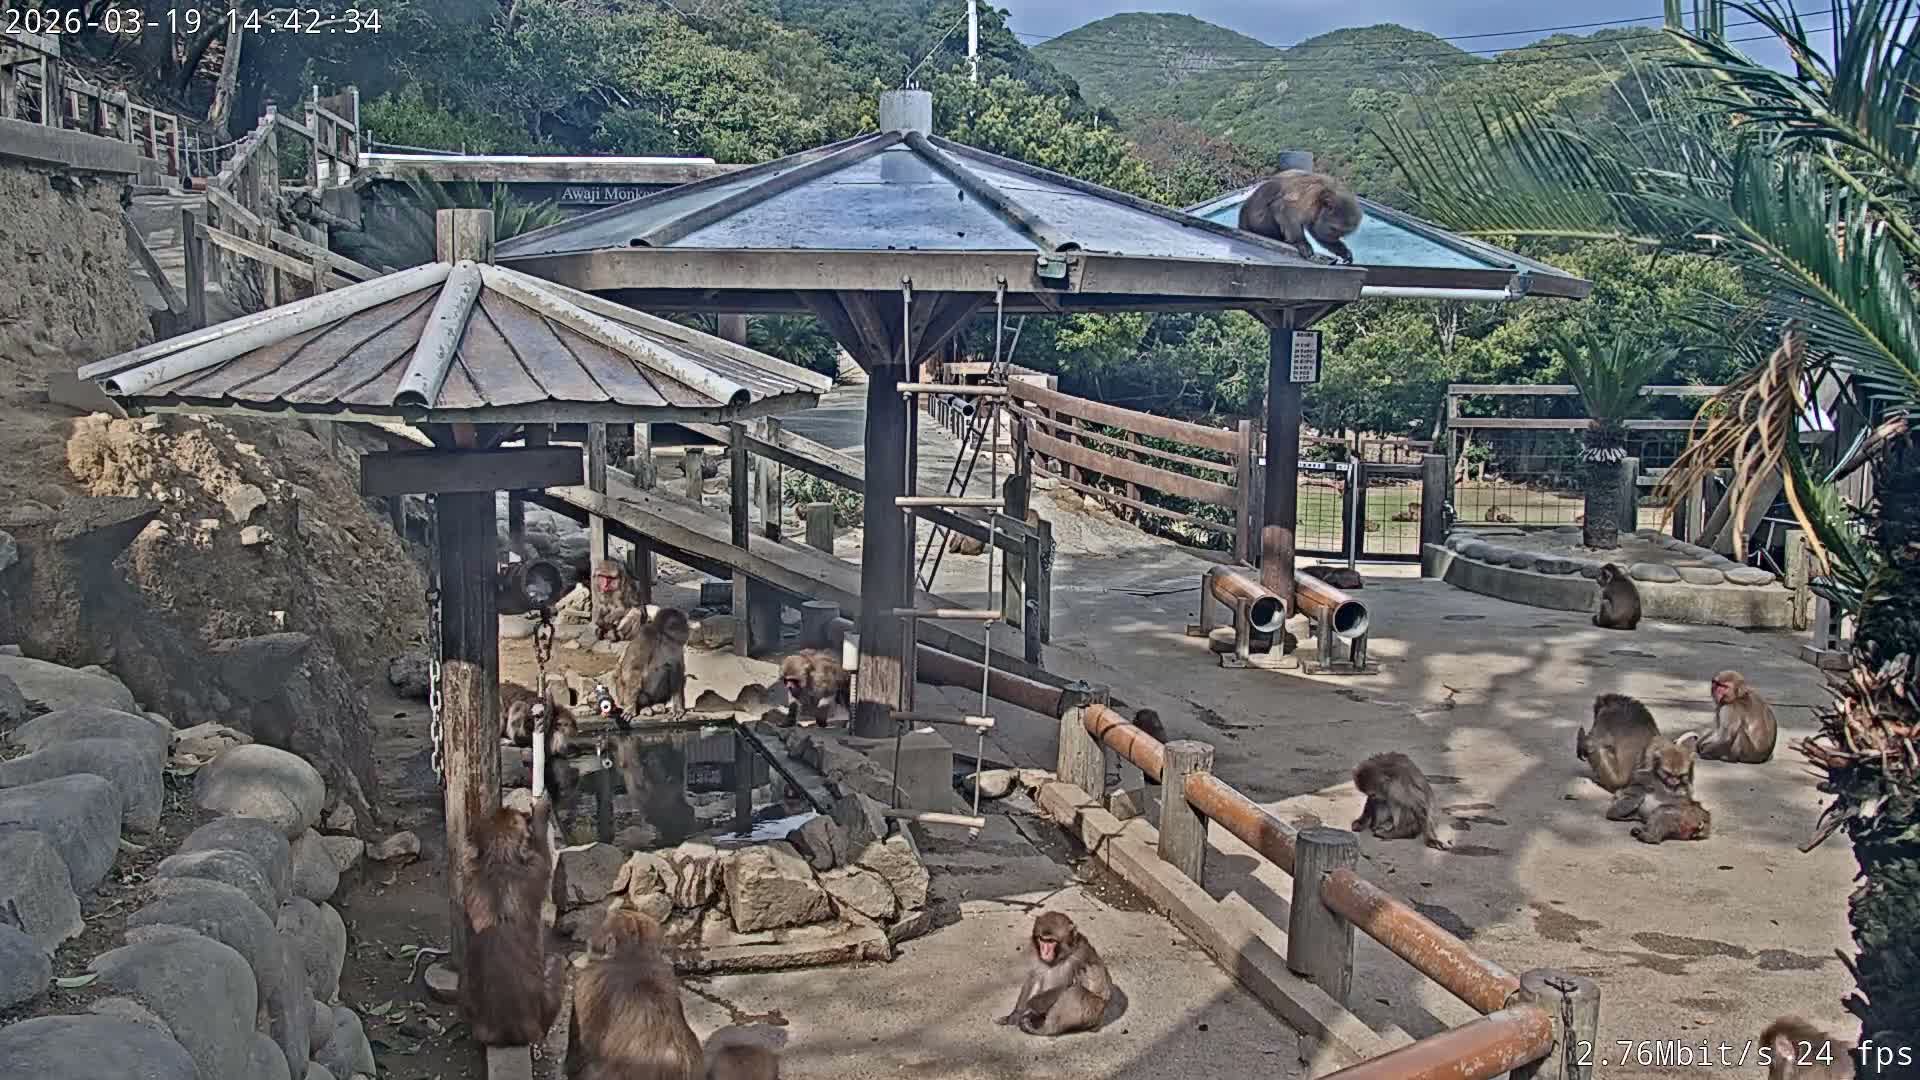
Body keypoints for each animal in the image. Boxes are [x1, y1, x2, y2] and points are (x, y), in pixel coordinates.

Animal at [460, 800, 563, 1046]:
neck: (500, 858)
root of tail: (506, 1033)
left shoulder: (470, 870)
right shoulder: (536, 869)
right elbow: (544, 856)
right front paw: (541, 812)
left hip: (465, 986)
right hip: (543, 1006)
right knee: (557, 961)